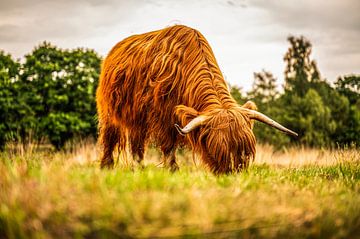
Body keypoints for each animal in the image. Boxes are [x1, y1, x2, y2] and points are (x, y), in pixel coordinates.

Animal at [97, 25, 296, 174]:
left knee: (137, 143)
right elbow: (168, 145)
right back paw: (106, 167)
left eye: (245, 152)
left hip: (137, 117)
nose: (231, 174)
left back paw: (138, 168)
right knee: (109, 137)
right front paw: (173, 170)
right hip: (109, 111)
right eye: (218, 150)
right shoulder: (162, 116)